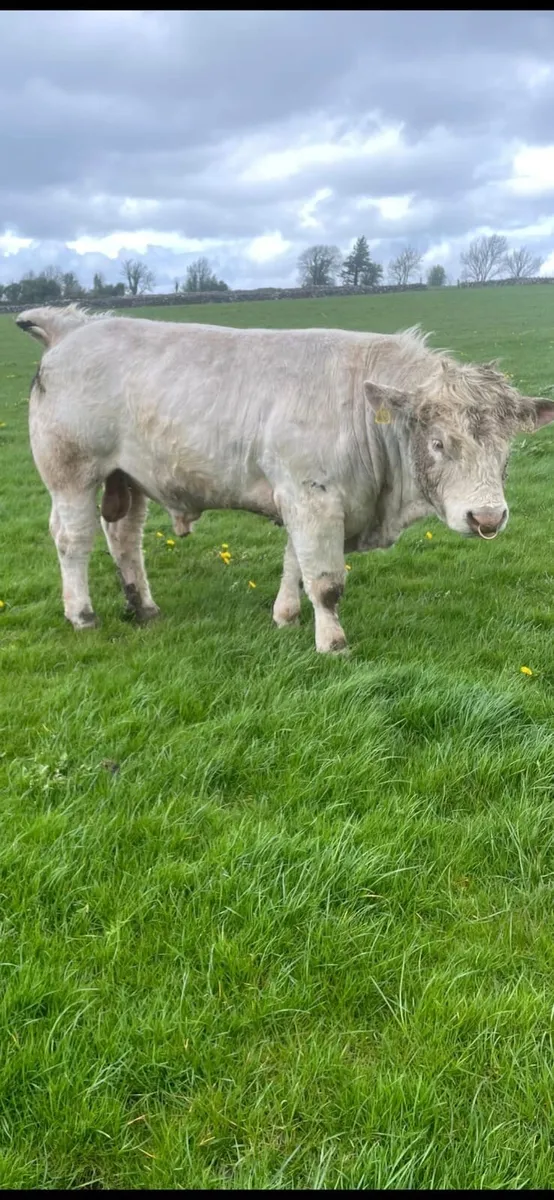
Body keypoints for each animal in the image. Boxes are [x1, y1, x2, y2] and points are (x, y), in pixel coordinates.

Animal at [16, 303, 554, 653]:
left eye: (505, 448)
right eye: (439, 443)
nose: (488, 517)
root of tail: (74, 327)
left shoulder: (302, 498)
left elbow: (294, 561)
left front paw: (287, 616)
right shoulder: (312, 497)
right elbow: (326, 580)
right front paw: (332, 642)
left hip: (125, 479)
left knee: (124, 537)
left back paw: (143, 607)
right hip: (71, 474)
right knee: (73, 539)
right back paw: (82, 615)